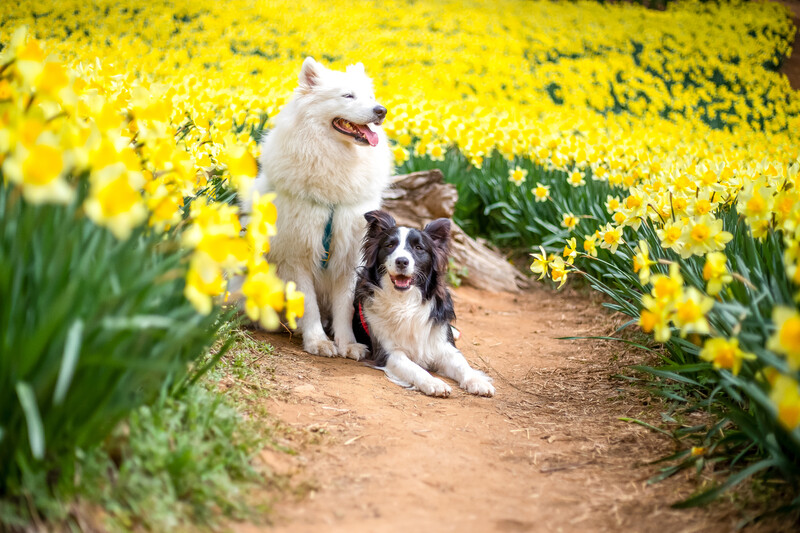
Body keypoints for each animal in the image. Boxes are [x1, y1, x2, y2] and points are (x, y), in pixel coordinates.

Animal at [244, 57, 394, 358]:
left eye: (371, 97)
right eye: (347, 96)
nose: (381, 111)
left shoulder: (348, 257)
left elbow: (344, 308)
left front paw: (347, 344)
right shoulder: (296, 256)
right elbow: (308, 304)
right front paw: (318, 342)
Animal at [354, 210, 496, 396]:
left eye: (419, 248)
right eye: (389, 245)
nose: (402, 261)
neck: (404, 301)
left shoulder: (443, 344)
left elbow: (461, 363)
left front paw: (477, 380)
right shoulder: (387, 352)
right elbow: (415, 368)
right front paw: (434, 382)